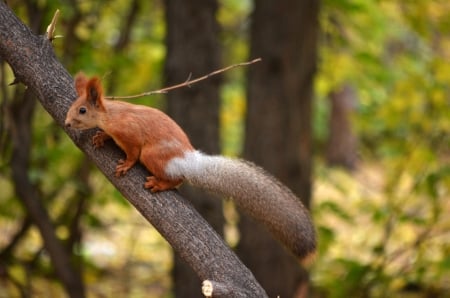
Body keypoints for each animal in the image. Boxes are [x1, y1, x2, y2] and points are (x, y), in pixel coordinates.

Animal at [64, 73, 316, 262]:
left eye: (82, 110)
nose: (66, 123)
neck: (110, 115)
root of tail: (188, 160)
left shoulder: (131, 134)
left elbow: (133, 153)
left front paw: (125, 164)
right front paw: (101, 137)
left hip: (153, 154)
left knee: (177, 178)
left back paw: (159, 184)